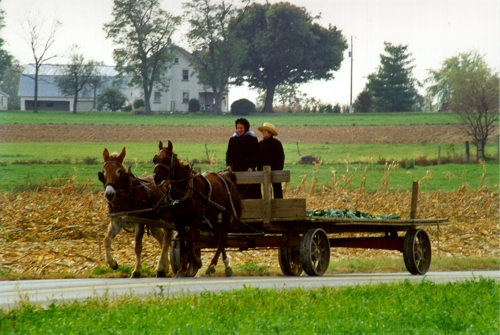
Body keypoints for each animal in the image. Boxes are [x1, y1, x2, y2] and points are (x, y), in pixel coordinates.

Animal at [97, 148, 174, 280]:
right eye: (104, 171)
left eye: (119, 171)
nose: (109, 194)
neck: (127, 196)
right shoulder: (116, 222)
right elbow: (106, 240)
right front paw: (112, 263)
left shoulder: (139, 224)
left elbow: (137, 247)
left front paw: (137, 271)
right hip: (154, 222)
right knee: (161, 239)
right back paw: (165, 267)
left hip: (167, 220)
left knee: (166, 241)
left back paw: (160, 268)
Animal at [152, 141, 242, 278]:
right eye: (155, 158)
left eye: (167, 159)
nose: (157, 179)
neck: (185, 189)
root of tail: (227, 176)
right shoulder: (179, 220)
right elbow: (183, 242)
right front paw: (182, 269)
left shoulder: (197, 218)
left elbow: (189, 240)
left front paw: (196, 262)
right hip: (212, 216)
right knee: (218, 237)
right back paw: (218, 265)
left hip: (226, 213)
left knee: (222, 239)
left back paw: (219, 265)